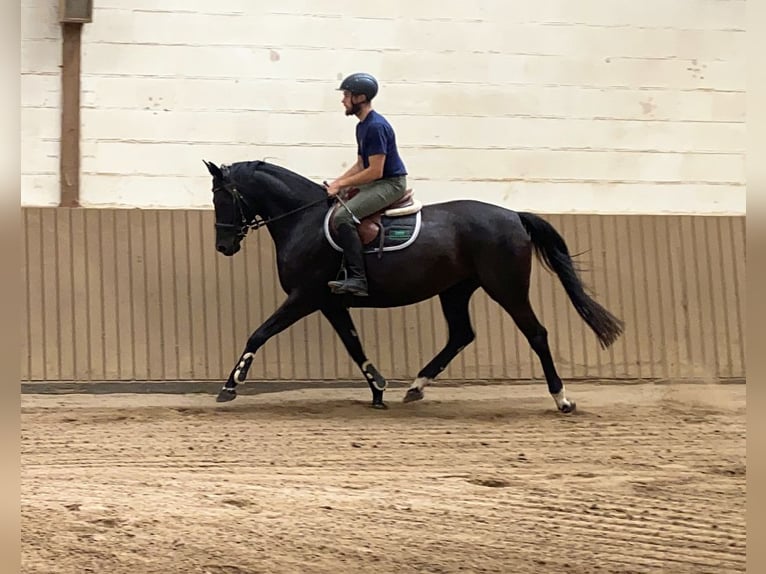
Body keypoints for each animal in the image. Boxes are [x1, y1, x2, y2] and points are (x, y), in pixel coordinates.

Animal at [203, 159, 625, 412]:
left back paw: (562, 399)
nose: (223, 246)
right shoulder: (330, 302)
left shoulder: (305, 296)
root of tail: (514, 216)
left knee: (535, 334)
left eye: (222, 197)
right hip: (456, 290)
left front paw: (230, 385)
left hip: (506, 288)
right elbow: (354, 345)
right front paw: (377, 389)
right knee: (461, 334)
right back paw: (416, 386)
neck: (303, 220)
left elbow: (259, 333)